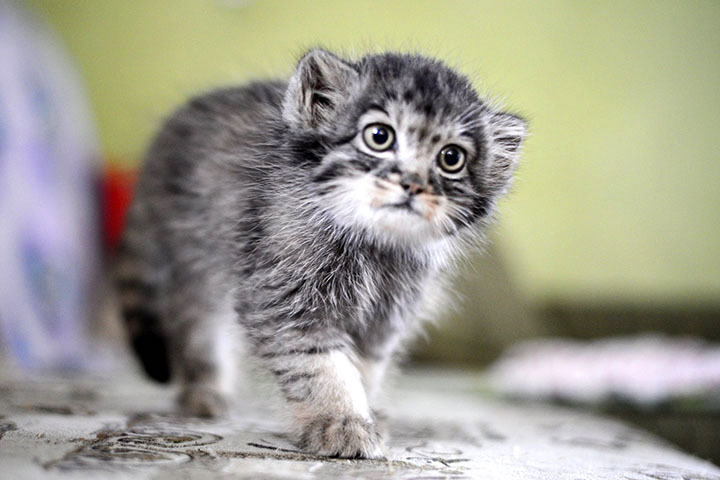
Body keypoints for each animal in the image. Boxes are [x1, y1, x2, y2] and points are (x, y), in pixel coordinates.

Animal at [116, 48, 526, 459]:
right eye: (379, 136)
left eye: (451, 158)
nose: (412, 183)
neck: (372, 244)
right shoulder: (285, 299)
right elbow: (322, 367)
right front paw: (341, 423)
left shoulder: (384, 318)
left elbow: (363, 370)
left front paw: (365, 414)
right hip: (197, 270)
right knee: (199, 335)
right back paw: (205, 393)